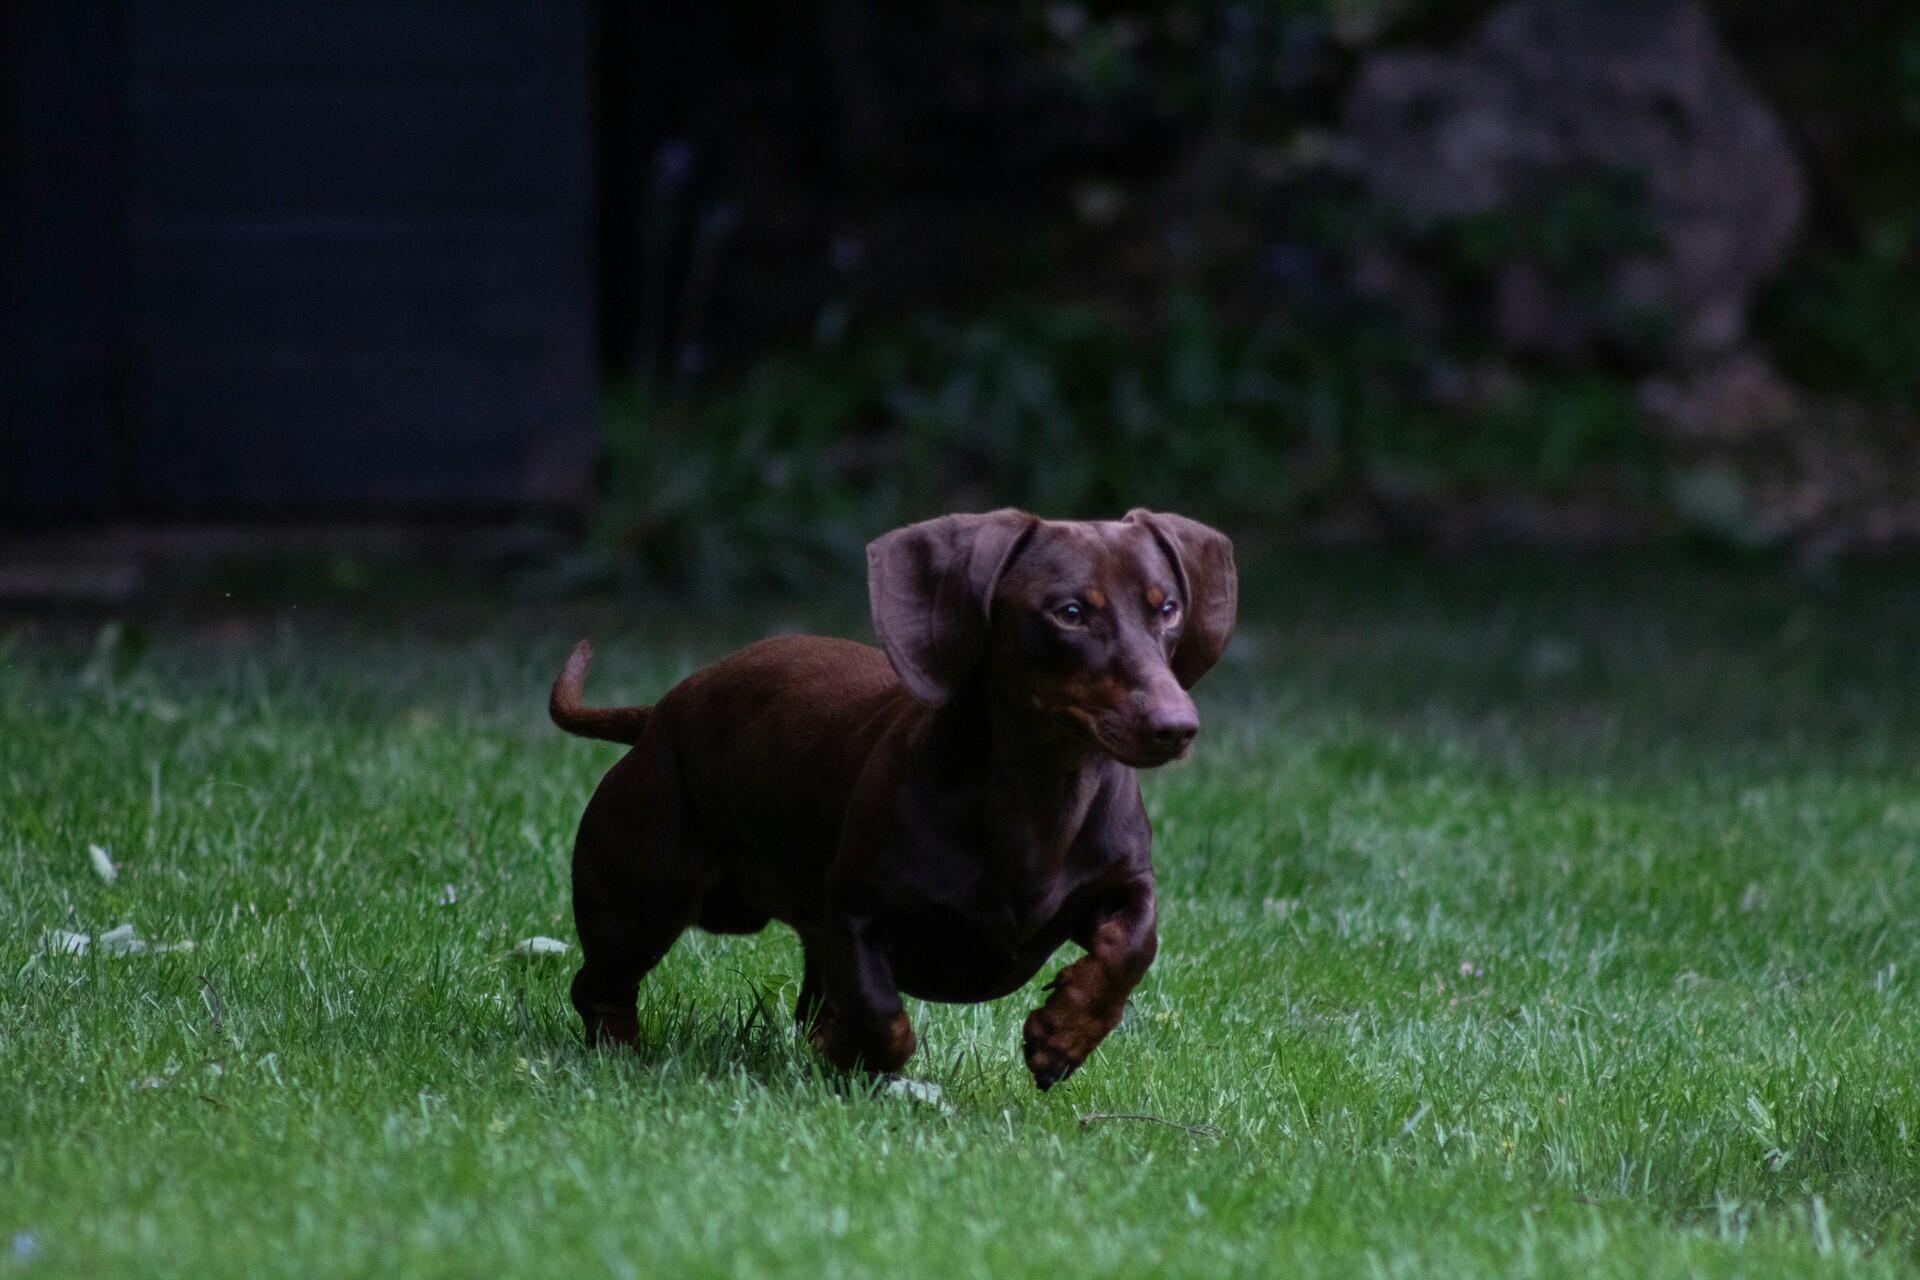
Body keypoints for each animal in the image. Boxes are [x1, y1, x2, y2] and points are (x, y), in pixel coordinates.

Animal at [549, 510, 1236, 1090]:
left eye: (1167, 608)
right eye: (1069, 611)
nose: (1177, 728)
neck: (1039, 797)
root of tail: (665, 708)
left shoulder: (1127, 884)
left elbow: (1132, 947)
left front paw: (1061, 1036)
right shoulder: (857, 910)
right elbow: (883, 1020)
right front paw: (849, 1053)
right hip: (637, 902)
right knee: (600, 987)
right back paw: (624, 1058)